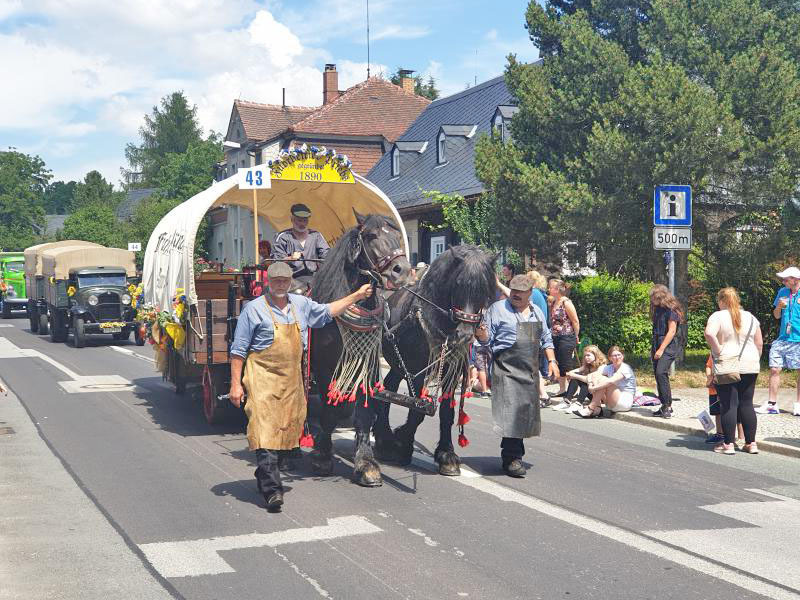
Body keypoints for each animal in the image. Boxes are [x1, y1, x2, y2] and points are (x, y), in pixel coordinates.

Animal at [310, 211, 412, 488]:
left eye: (398, 234)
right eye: (372, 235)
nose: (402, 272)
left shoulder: (368, 362)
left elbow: (364, 413)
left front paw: (366, 463)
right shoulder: (323, 365)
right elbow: (329, 408)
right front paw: (323, 455)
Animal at [374, 246, 494, 476]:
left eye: (485, 288)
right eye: (458, 283)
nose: (465, 335)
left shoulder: (452, 371)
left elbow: (447, 411)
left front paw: (446, 454)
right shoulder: (416, 371)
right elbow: (417, 410)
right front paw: (403, 444)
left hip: (397, 363)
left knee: (388, 388)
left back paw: (384, 437)